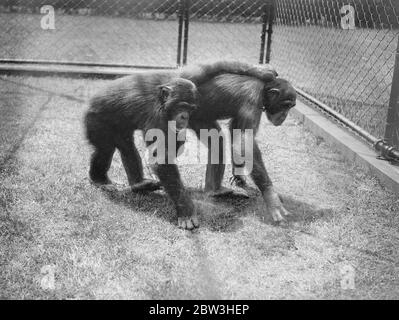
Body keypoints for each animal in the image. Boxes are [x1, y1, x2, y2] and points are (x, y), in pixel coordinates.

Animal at [85, 60, 280, 230]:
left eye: (191, 108)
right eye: (183, 106)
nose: (185, 116)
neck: (162, 101)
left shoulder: (183, 78)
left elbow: (207, 68)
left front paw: (263, 71)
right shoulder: (156, 116)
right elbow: (160, 159)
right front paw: (186, 212)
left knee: (126, 147)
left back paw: (139, 184)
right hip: (96, 121)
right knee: (104, 148)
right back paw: (100, 180)